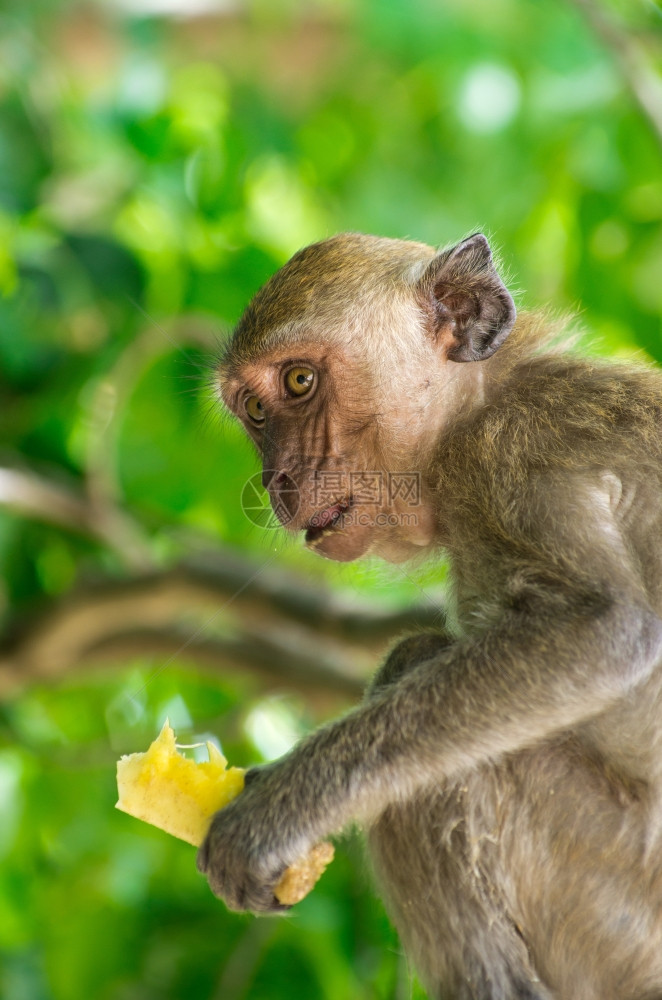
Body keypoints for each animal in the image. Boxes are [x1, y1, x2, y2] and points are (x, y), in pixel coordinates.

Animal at [198, 234, 662, 1000]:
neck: (472, 409)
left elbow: (604, 628)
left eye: (299, 382)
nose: (278, 484)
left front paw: (275, 814)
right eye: (255, 413)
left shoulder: (512, 457)